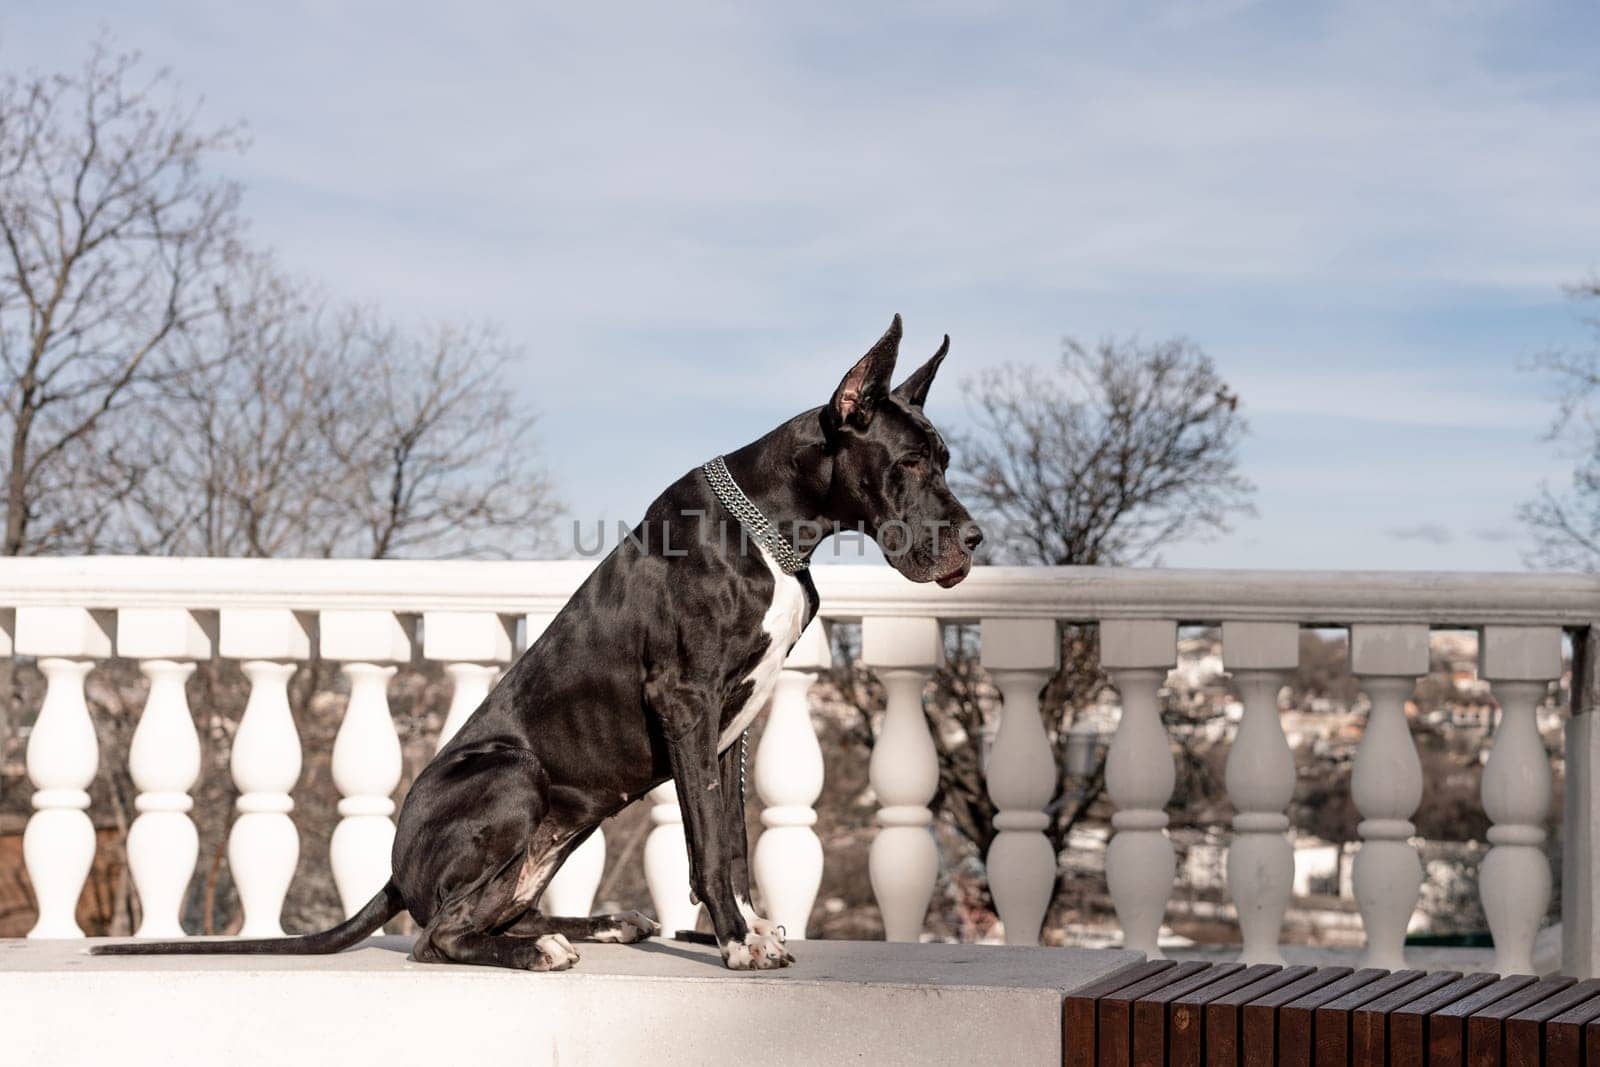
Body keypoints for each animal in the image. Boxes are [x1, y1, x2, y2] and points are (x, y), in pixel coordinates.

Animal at [100, 315, 979, 966]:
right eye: (909, 461)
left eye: (945, 458)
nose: (974, 537)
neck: (772, 525)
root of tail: (395, 871)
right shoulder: (687, 699)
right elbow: (703, 842)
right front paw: (735, 941)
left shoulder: (732, 724)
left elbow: (729, 837)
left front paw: (747, 926)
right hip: (514, 776)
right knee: (438, 937)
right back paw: (541, 950)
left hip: (557, 826)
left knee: (491, 911)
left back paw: (598, 924)